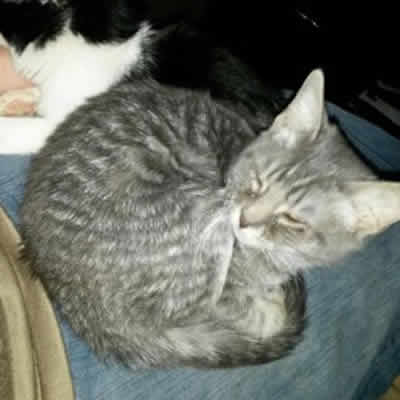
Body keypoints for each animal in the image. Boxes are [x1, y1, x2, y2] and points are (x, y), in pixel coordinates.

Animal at [20, 69, 400, 368]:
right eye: (258, 181)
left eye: (294, 221)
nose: (244, 220)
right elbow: (247, 311)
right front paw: (268, 304)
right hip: (198, 219)